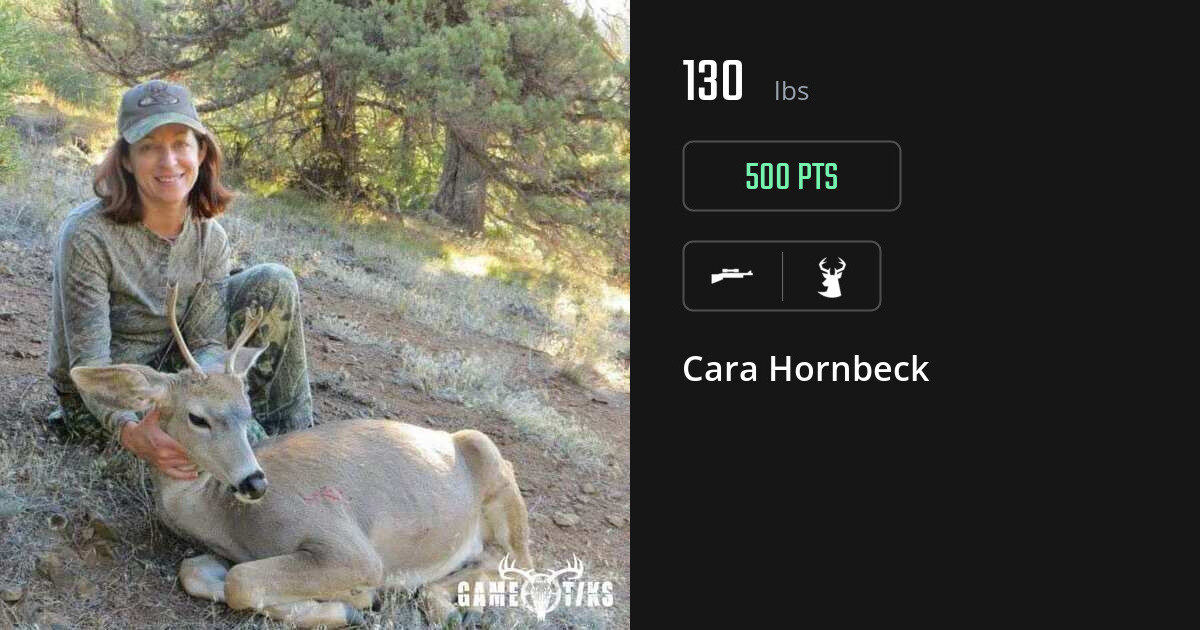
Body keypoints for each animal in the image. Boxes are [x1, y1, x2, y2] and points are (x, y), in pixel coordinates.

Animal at [69, 284, 533, 628]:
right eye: (197, 417)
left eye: (248, 411)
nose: (254, 481)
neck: (228, 521)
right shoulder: (228, 553)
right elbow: (196, 572)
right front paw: (340, 604)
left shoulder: (349, 547)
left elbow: (240, 582)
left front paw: (351, 602)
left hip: (492, 466)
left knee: (518, 563)